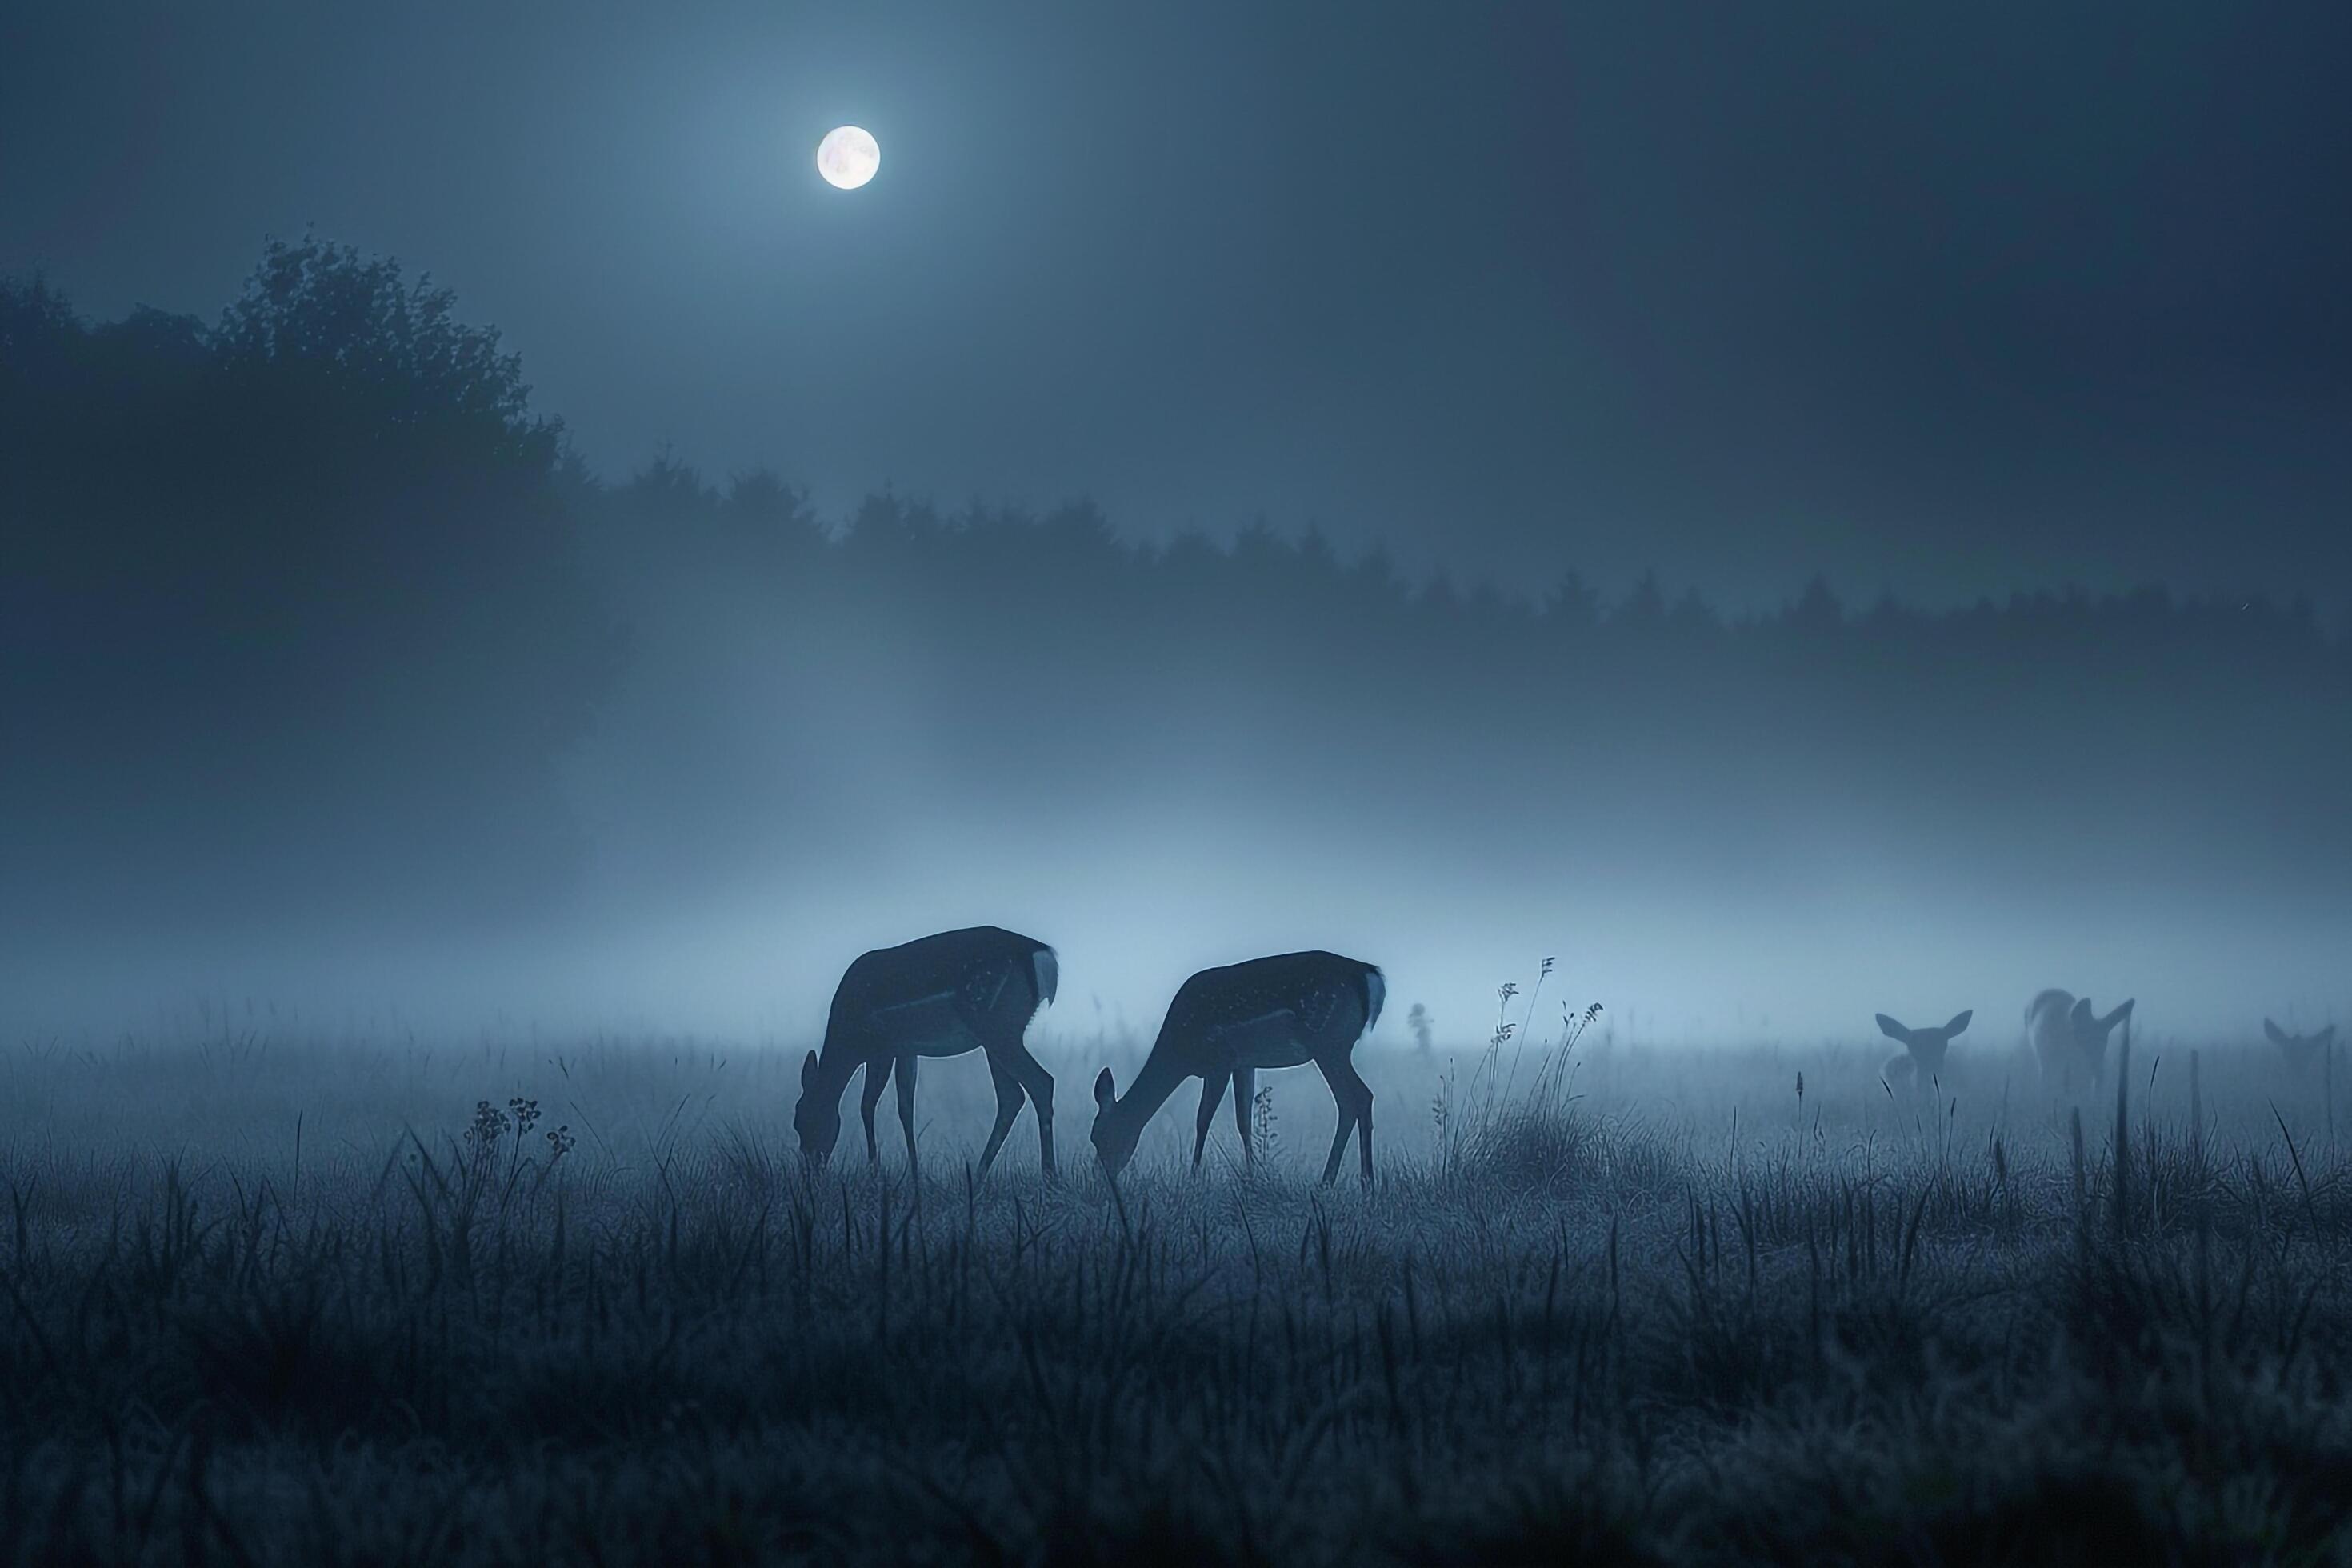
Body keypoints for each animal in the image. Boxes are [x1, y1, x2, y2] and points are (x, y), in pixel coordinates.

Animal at [794, 930, 1062, 1175]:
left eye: (801, 1122)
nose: (811, 1168)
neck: (848, 1042)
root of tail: (1043, 955)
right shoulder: (906, 1050)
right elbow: (905, 1108)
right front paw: (914, 1173)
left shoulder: (881, 1047)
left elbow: (867, 1105)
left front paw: (875, 1171)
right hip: (997, 1035)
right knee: (1011, 1096)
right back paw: (978, 1176)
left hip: (995, 1027)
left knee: (1041, 1082)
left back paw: (1049, 1176)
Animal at [1091, 950, 1382, 1185]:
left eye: (1099, 1136)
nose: (1102, 1176)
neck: (1180, 1052)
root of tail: (1368, 974)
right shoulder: (1244, 1063)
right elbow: (1243, 1121)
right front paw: (1252, 1176)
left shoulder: (1219, 1060)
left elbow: (1202, 1120)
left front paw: (1193, 1178)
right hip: (1334, 1046)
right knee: (1359, 1098)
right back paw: (1361, 1181)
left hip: (1328, 1042)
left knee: (1354, 1098)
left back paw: (1335, 1181)